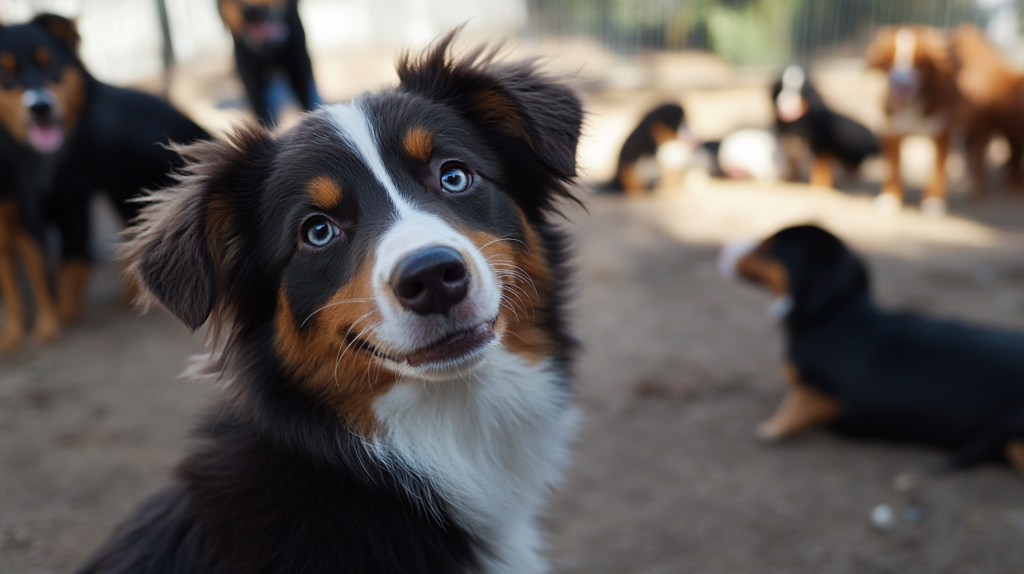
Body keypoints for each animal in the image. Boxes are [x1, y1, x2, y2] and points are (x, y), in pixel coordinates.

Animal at [0, 15, 205, 347]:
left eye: (49, 64)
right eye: (5, 74)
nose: (40, 107)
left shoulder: (70, 199)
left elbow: (66, 262)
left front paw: (58, 318)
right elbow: (22, 280)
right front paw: (17, 333)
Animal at [716, 226, 1024, 476]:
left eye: (768, 250)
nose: (722, 248)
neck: (833, 311)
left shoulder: (819, 389)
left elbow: (794, 404)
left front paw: (771, 428)